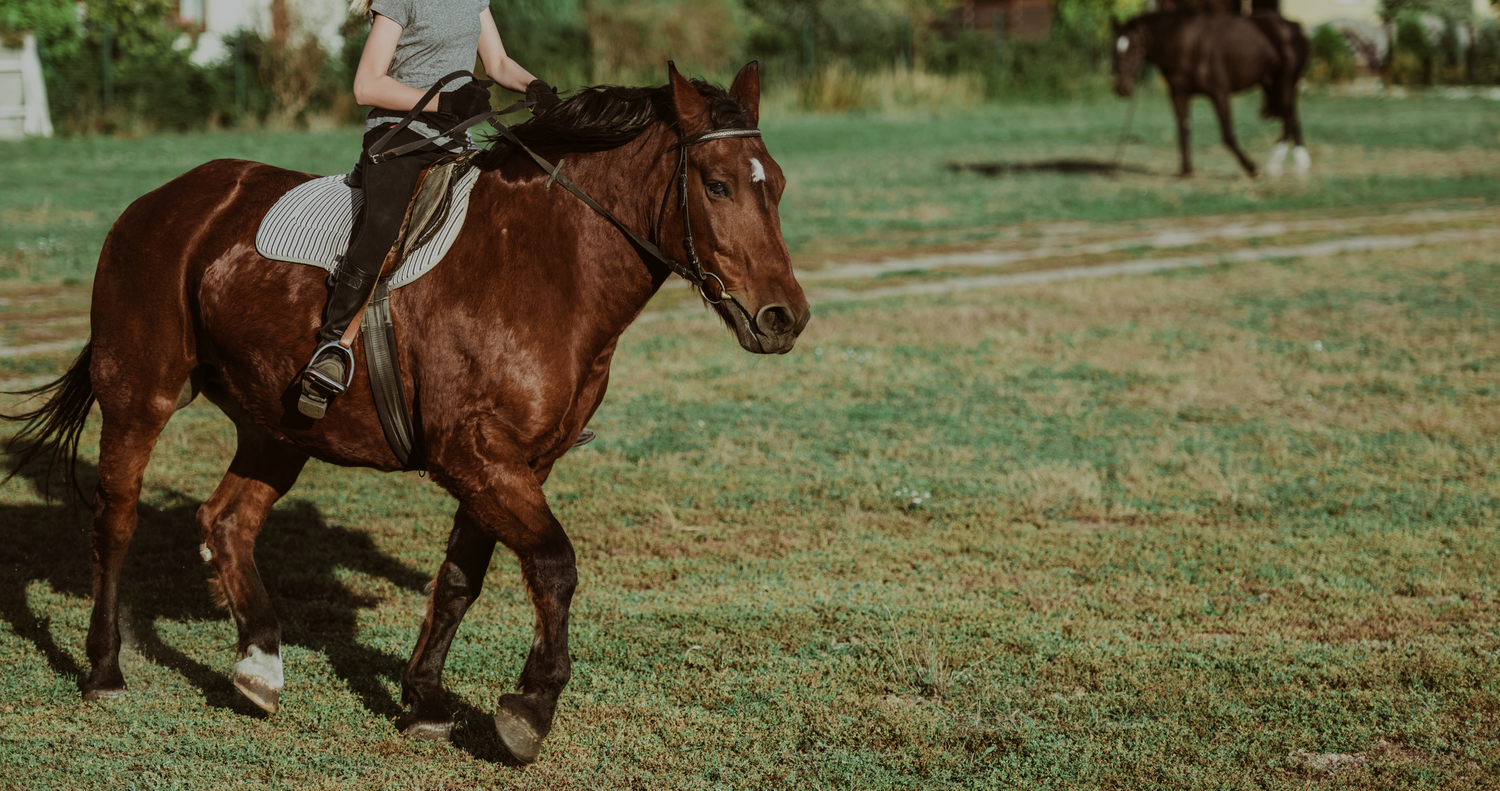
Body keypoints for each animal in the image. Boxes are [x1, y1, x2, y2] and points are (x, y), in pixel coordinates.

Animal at [2, 63, 810, 768]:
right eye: (717, 185)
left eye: (777, 186)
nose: (785, 318)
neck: (548, 265)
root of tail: (160, 202)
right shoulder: (477, 457)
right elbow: (554, 564)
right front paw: (529, 708)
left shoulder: (514, 464)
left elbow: (459, 578)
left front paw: (423, 699)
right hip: (141, 394)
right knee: (117, 519)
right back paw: (105, 668)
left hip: (278, 424)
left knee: (227, 519)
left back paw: (259, 664)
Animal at [1116, 10, 1314, 177]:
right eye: (1114, 49)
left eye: (1135, 48)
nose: (1121, 88)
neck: (1186, 45)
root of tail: (1294, 26)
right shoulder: (1179, 94)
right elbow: (1183, 129)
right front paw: (1185, 171)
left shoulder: (1219, 93)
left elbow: (1227, 134)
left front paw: (1252, 168)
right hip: (1272, 84)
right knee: (1291, 117)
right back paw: (1292, 165)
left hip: (1285, 82)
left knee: (1289, 118)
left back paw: (1284, 164)